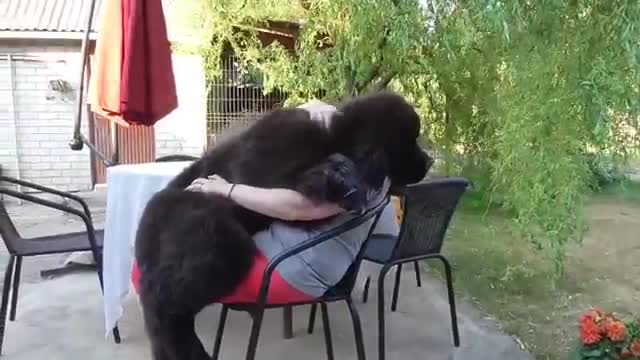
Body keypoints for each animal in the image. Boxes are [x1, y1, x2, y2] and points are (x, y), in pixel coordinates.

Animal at [133, 91, 432, 358]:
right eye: (410, 141)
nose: (430, 161)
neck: (335, 142)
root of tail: (151, 210)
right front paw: (342, 177)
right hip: (219, 242)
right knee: (162, 301)